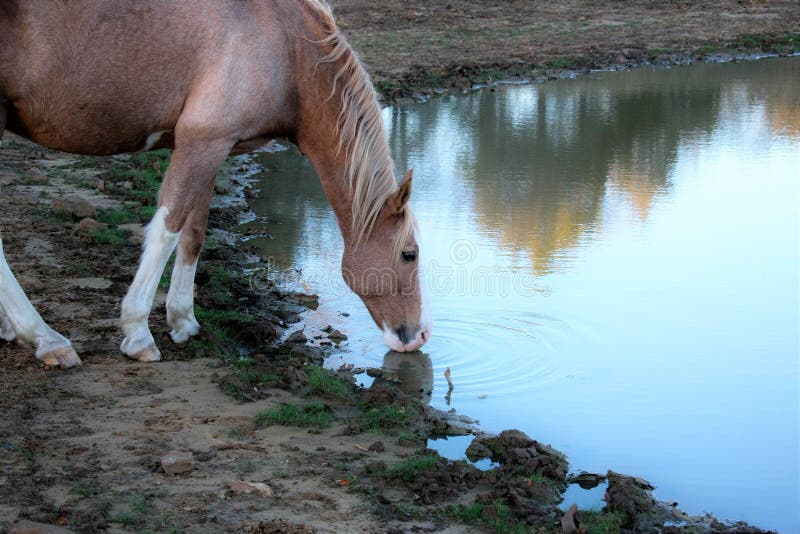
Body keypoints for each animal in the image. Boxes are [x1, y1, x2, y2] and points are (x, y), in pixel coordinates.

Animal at [0, 0, 431, 368]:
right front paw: (138, 334)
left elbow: (194, 233)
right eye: (409, 254)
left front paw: (182, 321)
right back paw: (45, 338)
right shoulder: (202, 142)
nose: (420, 335)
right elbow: (167, 232)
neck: (284, 45)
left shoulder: (211, 148)